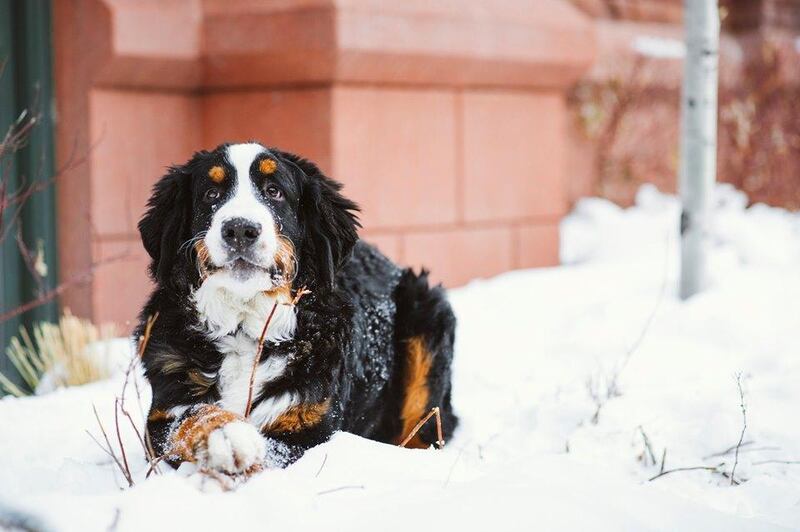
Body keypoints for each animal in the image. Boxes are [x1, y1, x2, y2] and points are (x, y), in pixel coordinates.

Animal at [138, 141, 456, 474]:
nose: (240, 229)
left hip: (425, 315)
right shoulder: (162, 412)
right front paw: (226, 435)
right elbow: (190, 419)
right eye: (211, 194)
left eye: (274, 191)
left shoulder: (307, 426)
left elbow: (273, 454)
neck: (244, 325)